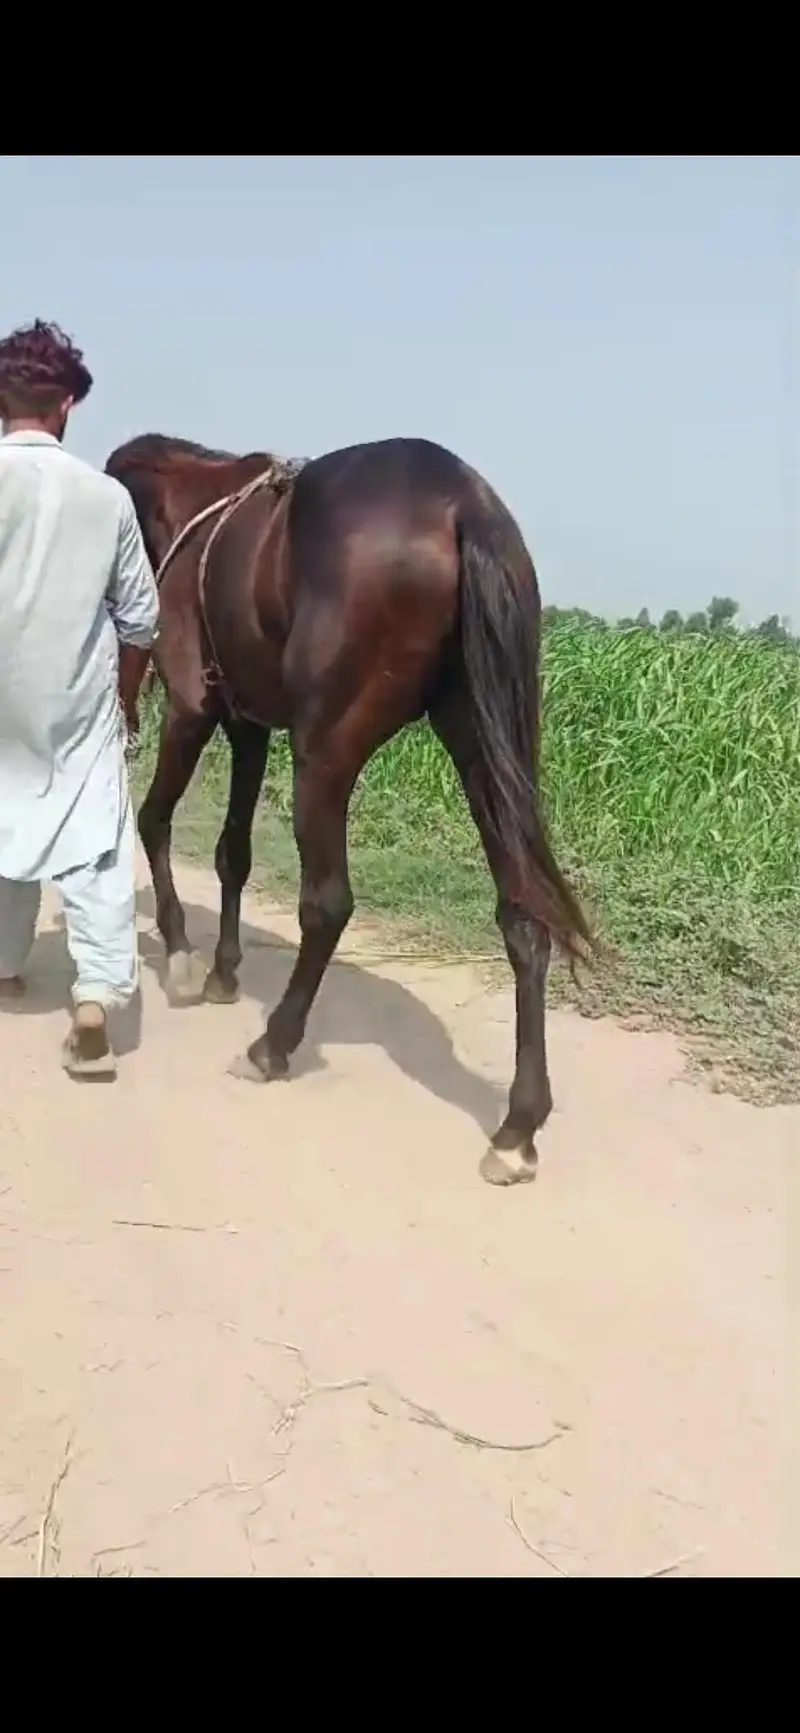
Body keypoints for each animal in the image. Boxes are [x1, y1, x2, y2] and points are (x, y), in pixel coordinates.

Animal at [105, 432, 592, 1186]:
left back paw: (273, 1044)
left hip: (326, 750)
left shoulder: (193, 707)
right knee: (524, 919)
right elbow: (233, 853)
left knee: (328, 903)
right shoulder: (249, 723)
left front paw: (184, 958)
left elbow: (154, 821)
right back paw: (518, 1125)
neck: (191, 510)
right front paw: (222, 970)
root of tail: (464, 505)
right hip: (487, 743)